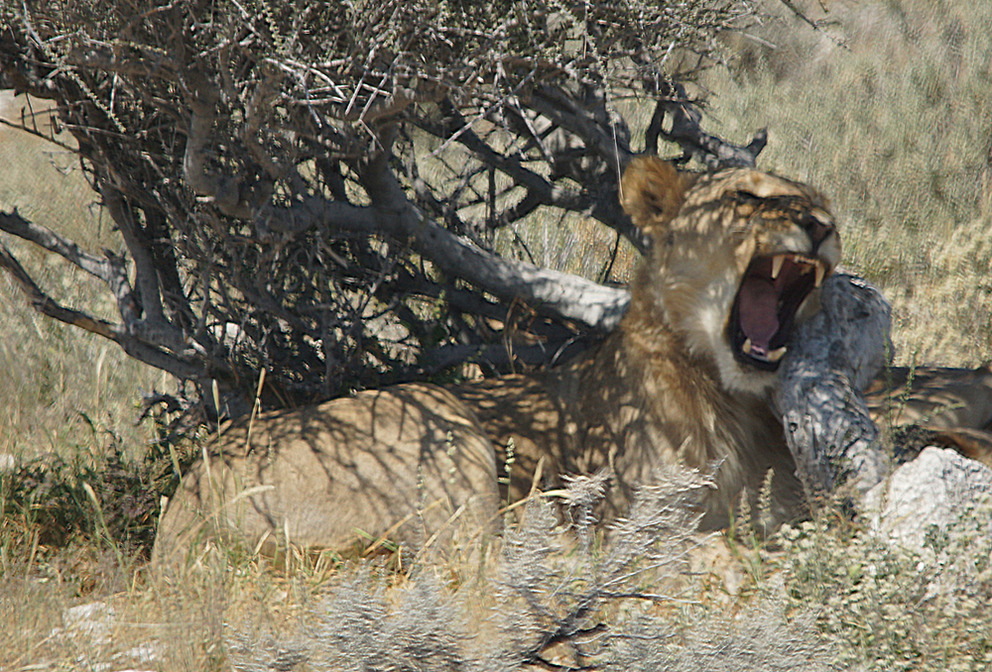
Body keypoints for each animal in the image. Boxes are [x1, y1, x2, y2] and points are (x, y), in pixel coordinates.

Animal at [152, 156, 992, 567]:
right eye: (751, 198)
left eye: (821, 203)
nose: (819, 224)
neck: (734, 400)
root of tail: (178, 514)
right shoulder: (645, 515)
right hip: (441, 425)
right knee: (475, 572)